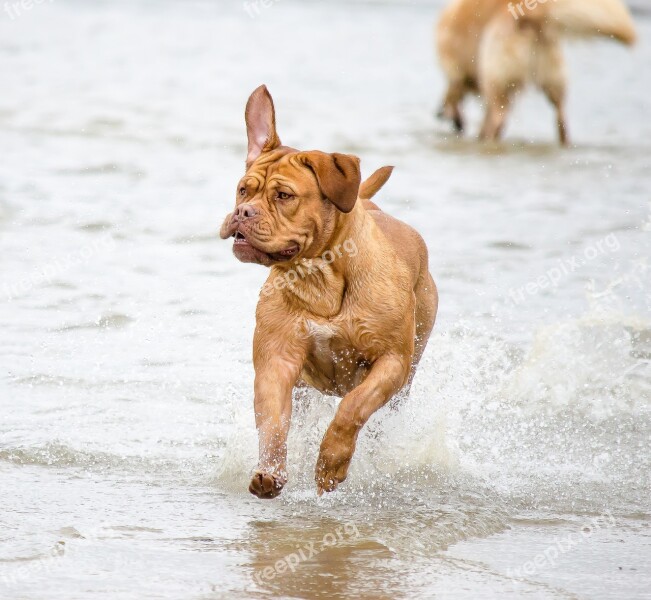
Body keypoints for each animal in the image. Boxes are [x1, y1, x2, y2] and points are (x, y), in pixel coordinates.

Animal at [219, 84, 438, 496]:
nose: (242, 213)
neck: (320, 278)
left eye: (284, 196)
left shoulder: (391, 362)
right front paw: (270, 471)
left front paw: (330, 466)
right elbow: (273, 423)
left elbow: (353, 408)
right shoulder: (277, 360)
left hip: (408, 374)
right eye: (242, 190)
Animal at [436, 0, 640, 143]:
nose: (437, 113)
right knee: (562, 121)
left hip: (495, 78)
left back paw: (485, 139)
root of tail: (532, 14)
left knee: (498, 119)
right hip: (553, 81)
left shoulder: (458, 74)